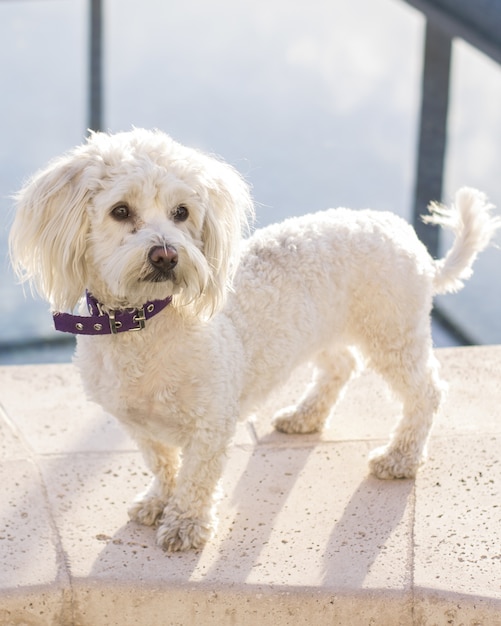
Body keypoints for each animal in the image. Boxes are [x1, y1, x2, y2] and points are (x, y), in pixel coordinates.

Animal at [8, 129, 500, 548]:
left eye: (182, 213)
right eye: (120, 211)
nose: (166, 255)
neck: (145, 322)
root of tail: (405, 234)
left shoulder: (212, 423)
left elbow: (197, 478)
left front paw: (185, 524)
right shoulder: (133, 422)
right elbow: (163, 463)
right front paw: (157, 501)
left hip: (392, 333)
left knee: (426, 392)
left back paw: (400, 457)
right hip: (326, 330)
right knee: (341, 366)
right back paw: (305, 415)